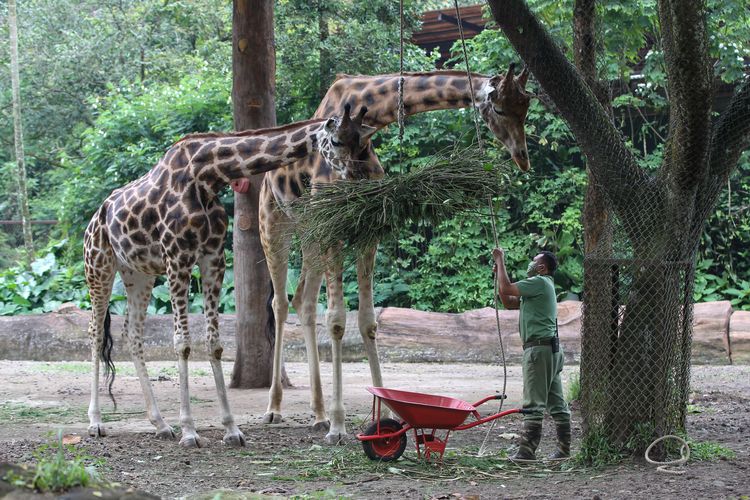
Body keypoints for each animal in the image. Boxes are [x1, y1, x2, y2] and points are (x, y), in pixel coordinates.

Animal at [83, 105, 376, 450]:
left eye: (361, 141)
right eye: (336, 140)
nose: (356, 180)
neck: (207, 176)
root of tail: (96, 217)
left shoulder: (213, 258)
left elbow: (215, 344)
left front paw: (231, 429)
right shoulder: (177, 257)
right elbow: (182, 343)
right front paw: (190, 431)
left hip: (138, 275)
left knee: (133, 335)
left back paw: (160, 424)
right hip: (98, 267)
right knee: (95, 334)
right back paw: (96, 422)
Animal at [262, 64, 536, 444]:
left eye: (526, 107)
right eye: (498, 108)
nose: (522, 158)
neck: (372, 118)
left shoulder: (366, 230)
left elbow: (367, 320)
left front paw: (388, 410)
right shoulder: (335, 227)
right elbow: (337, 320)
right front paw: (338, 426)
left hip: (311, 235)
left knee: (303, 299)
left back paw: (317, 414)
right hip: (275, 222)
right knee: (280, 302)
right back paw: (274, 409)